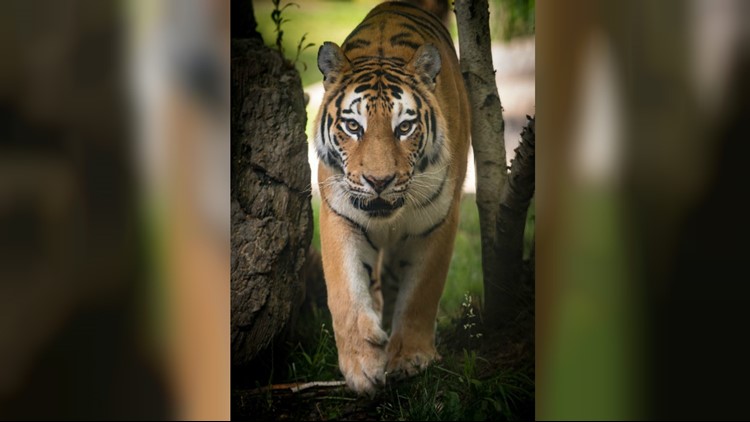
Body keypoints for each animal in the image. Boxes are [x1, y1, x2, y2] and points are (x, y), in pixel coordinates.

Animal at [314, 0, 472, 396]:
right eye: (353, 126)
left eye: (405, 127)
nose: (379, 181)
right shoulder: (340, 213)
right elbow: (346, 292)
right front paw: (361, 366)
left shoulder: (439, 221)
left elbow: (420, 293)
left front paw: (410, 358)